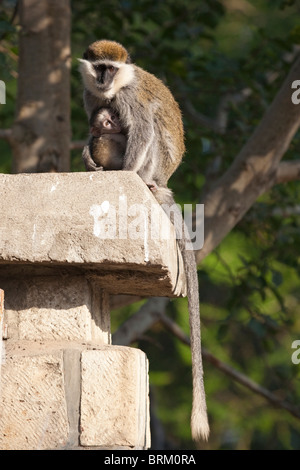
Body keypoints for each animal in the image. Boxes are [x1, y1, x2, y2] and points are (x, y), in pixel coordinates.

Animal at [79, 39, 209, 440]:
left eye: (112, 68)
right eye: (99, 67)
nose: (104, 80)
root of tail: (164, 180)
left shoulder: (127, 99)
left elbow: (141, 128)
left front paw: (122, 171)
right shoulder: (92, 98)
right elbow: (94, 123)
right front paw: (89, 153)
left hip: (156, 163)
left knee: (148, 130)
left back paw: (140, 180)